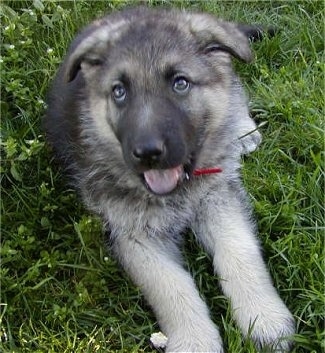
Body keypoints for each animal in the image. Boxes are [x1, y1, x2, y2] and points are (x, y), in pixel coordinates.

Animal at [45, 6, 294, 352]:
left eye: (180, 83)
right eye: (119, 92)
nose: (148, 152)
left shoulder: (217, 196)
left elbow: (240, 251)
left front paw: (263, 317)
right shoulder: (133, 234)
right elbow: (170, 286)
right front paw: (195, 341)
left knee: (234, 90)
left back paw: (241, 129)